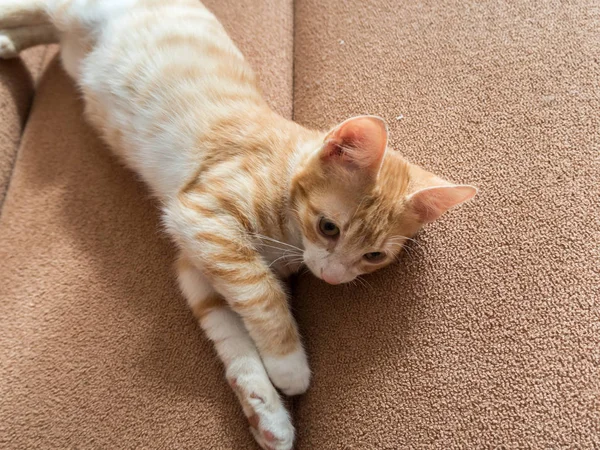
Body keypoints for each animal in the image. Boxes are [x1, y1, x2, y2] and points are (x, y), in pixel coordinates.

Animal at [1, 1, 478, 448]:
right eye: (328, 227)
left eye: (373, 256)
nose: (331, 276)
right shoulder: (200, 217)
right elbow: (262, 292)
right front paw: (289, 365)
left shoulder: (196, 265)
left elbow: (230, 331)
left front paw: (265, 410)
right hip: (78, 10)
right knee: (35, 8)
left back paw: (7, 42)